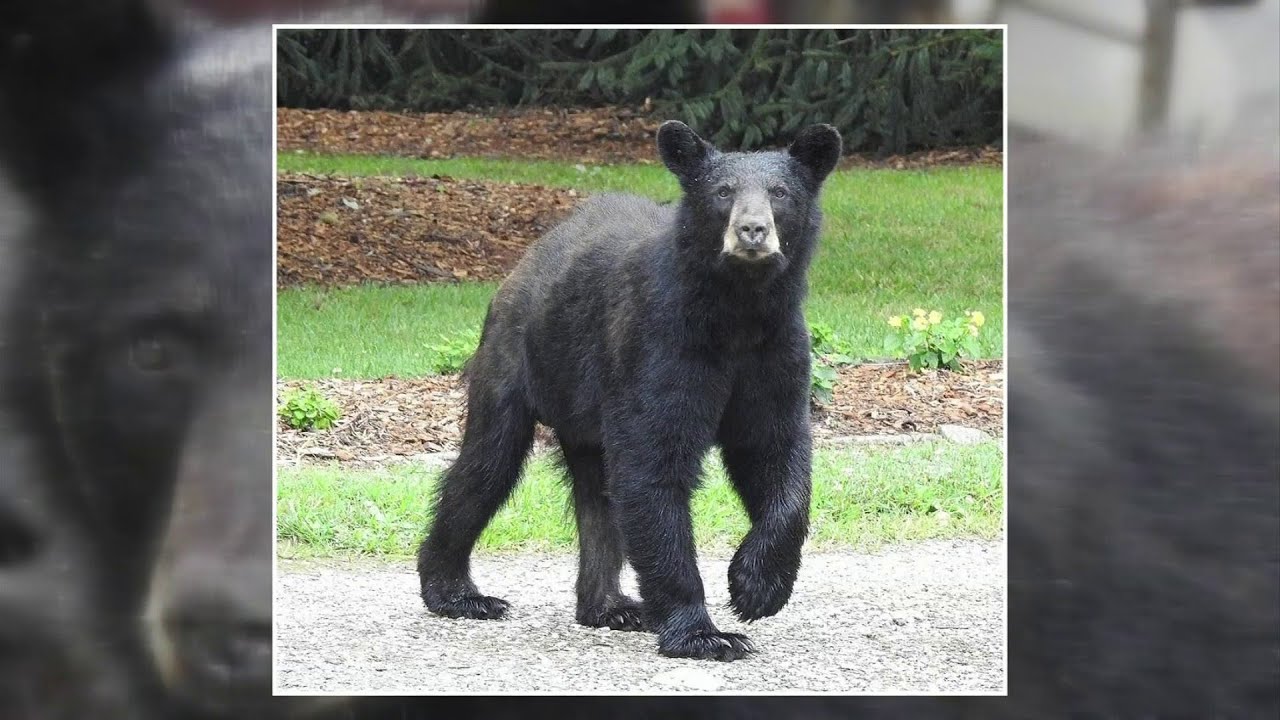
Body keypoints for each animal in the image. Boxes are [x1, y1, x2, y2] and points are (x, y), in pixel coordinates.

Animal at [414, 120, 844, 661]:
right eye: (722, 192)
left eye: (780, 192)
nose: (752, 230)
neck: (736, 313)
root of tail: (530, 256)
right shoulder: (660, 345)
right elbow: (652, 464)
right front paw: (705, 633)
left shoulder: (776, 352)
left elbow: (775, 451)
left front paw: (756, 586)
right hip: (515, 358)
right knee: (488, 463)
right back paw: (458, 593)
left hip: (583, 413)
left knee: (596, 494)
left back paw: (609, 606)